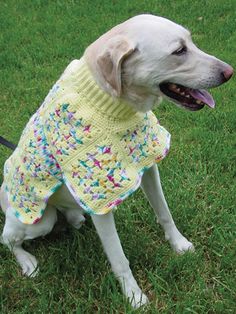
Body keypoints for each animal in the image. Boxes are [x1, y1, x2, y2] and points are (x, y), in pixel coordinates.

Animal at [0, 14, 232, 306]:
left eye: (191, 41)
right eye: (179, 51)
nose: (229, 72)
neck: (112, 101)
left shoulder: (149, 167)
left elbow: (165, 213)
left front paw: (179, 244)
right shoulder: (100, 199)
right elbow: (119, 258)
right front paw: (134, 296)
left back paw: (73, 219)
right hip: (38, 221)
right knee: (8, 239)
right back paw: (27, 262)